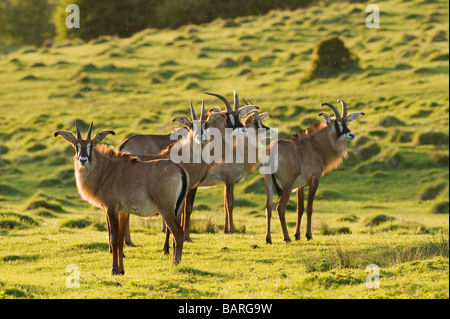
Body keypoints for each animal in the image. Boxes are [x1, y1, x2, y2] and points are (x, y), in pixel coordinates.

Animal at [264, 100, 366, 245]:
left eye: (347, 122)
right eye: (336, 123)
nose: (351, 135)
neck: (315, 145)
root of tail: (271, 151)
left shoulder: (300, 185)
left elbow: (300, 208)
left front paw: (297, 235)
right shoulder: (314, 180)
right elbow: (309, 208)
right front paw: (308, 235)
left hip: (269, 183)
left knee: (268, 207)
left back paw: (268, 238)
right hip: (287, 185)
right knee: (280, 207)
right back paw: (286, 237)